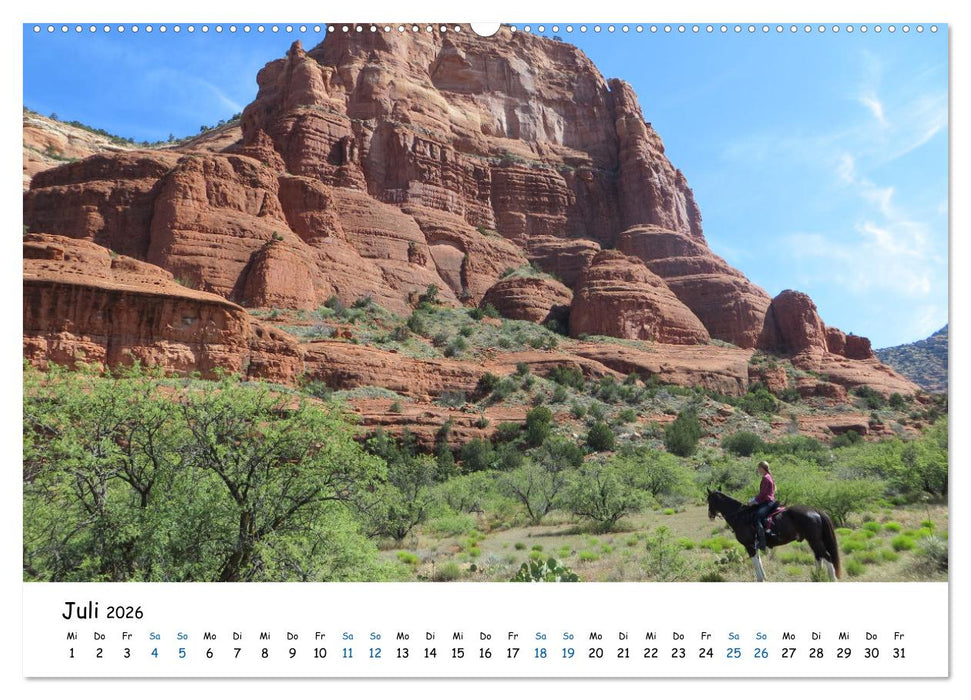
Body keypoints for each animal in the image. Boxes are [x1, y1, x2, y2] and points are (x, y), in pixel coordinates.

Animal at [706, 488, 841, 582]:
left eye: (709, 500)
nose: (710, 515)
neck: (741, 516)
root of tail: (816, 510)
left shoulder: (749, 546)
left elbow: (755, 561)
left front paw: (760, 579)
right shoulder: (755, 545)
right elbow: (758, 560)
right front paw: (764, 576)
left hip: (814, 541)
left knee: (827, 557)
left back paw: (831, 579)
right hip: (813, 541)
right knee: (819, 557)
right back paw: (817, 577)